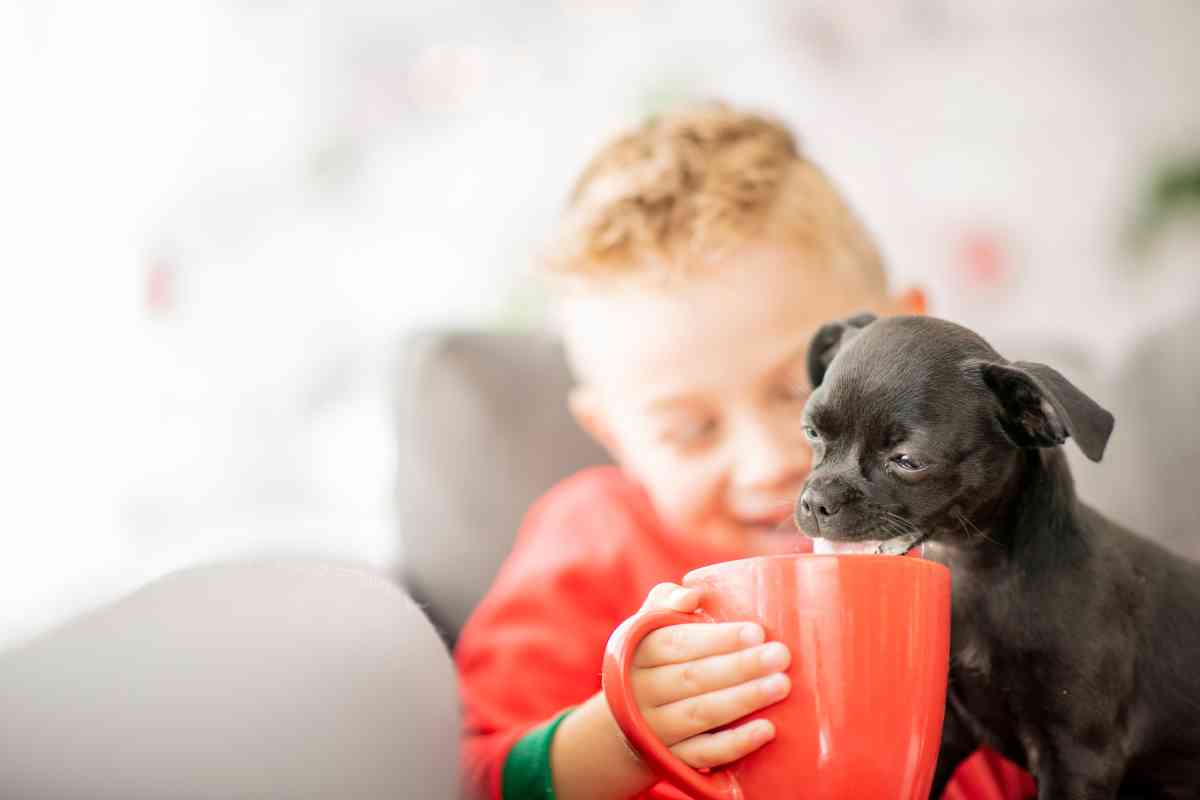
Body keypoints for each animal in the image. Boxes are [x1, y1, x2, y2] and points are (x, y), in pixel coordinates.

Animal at [796, 314, 1200, 800]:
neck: (975, 574)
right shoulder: (943, 731)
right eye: (811, 432)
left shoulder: (1077, 758)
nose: (816, 502)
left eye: (908, 461)